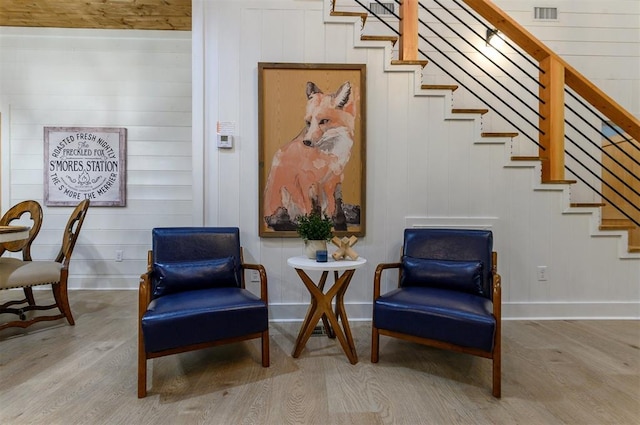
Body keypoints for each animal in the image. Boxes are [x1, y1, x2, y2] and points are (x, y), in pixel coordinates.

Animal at [264, 80, 358, 224]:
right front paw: (308, 223)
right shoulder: (305, 180)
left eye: (324, 121)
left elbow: (328, 207)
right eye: (308, 122)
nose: (306, 142)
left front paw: (327, 223)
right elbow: (308, 207)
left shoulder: (329, 182)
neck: (328, 156)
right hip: (285, 192)